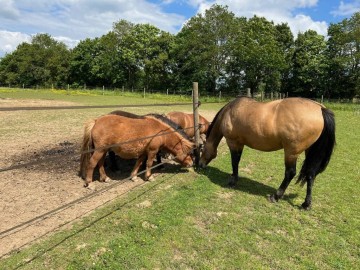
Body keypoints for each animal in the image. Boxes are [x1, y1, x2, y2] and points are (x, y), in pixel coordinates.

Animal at [198, 97, 336, 209]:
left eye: (202, 150)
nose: (199, 165)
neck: (230, 111)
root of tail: (320, 109)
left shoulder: (233, 143)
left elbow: (234, 162)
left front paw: (233, 181)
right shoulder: (240, 144)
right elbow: (237, 161)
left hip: (291, 153)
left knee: (290, 173)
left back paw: (276, 196)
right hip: (310, 152)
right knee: (310, 174)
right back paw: (306, 204)